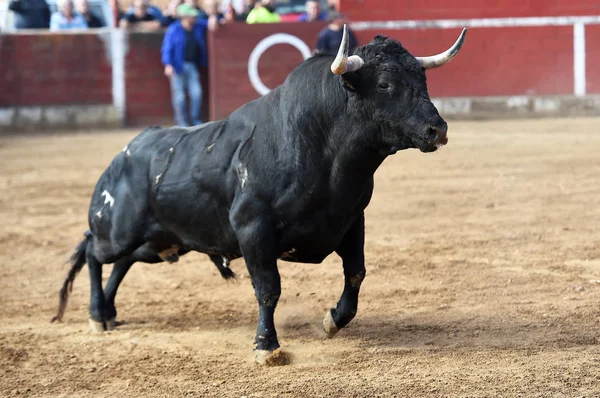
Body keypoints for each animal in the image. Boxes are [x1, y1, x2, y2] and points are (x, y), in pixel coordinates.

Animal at [51, 26, 466, 366]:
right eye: (383, 85)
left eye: (422, 80)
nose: (437, 129)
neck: (318, 146)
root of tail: (125, 153)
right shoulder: (254, 230)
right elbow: (268, 289)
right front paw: (267, 346)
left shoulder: (352, 222)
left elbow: (356, 275)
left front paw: (332, 320)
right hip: (118, 232)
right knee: (94, 253)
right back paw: (96, 316)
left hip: (160, 243)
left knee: (121, 263)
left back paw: (109, 313)